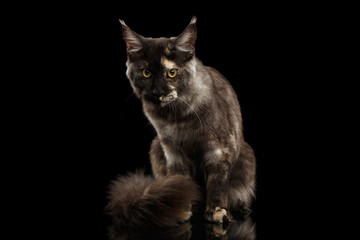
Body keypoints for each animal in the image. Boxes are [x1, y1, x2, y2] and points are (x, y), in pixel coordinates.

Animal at [105, 15, 258, 230]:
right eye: (146, 73)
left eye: (172, 73)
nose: (158, 92)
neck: (178, 118)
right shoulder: (172, 150)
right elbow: (180, 180)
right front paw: (182, 210)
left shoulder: (219, 149)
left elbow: (217, 184)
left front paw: (217, 212)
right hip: (155, 149)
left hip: (246, 156)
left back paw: (241, 207)